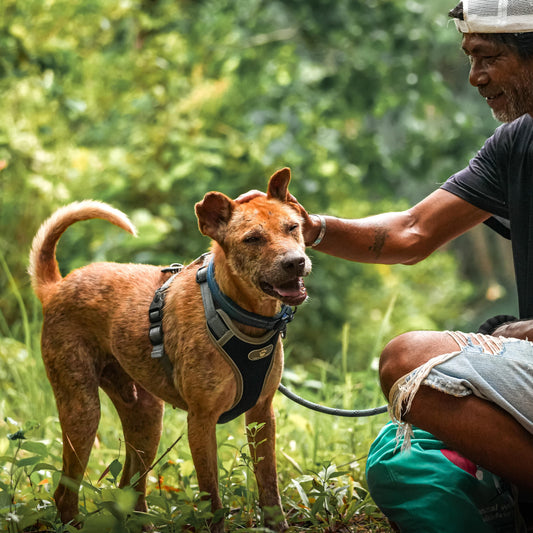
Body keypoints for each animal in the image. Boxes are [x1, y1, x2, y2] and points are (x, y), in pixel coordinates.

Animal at [29, 168, 310, 528]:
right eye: (252, 239)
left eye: (293, 227)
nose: (296, 262)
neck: (237, 314)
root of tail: (56, 287)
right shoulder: (201, 421)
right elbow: (212, 496)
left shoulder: (262, 414)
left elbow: (269, 484)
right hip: (83, 411)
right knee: (65, 494)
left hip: (147, 417)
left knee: (130, 490)